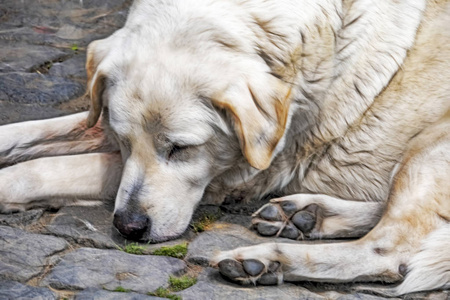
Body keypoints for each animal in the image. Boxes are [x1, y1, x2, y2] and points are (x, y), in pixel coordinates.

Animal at [0, 0, 450, 296]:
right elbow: (27, 132)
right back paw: (303, 215)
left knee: (391, 248)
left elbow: (46, 168)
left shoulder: (231, 177)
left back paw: (270, 259)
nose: (129, 228)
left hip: (429, 144)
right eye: (125, 141)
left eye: (181, 149)